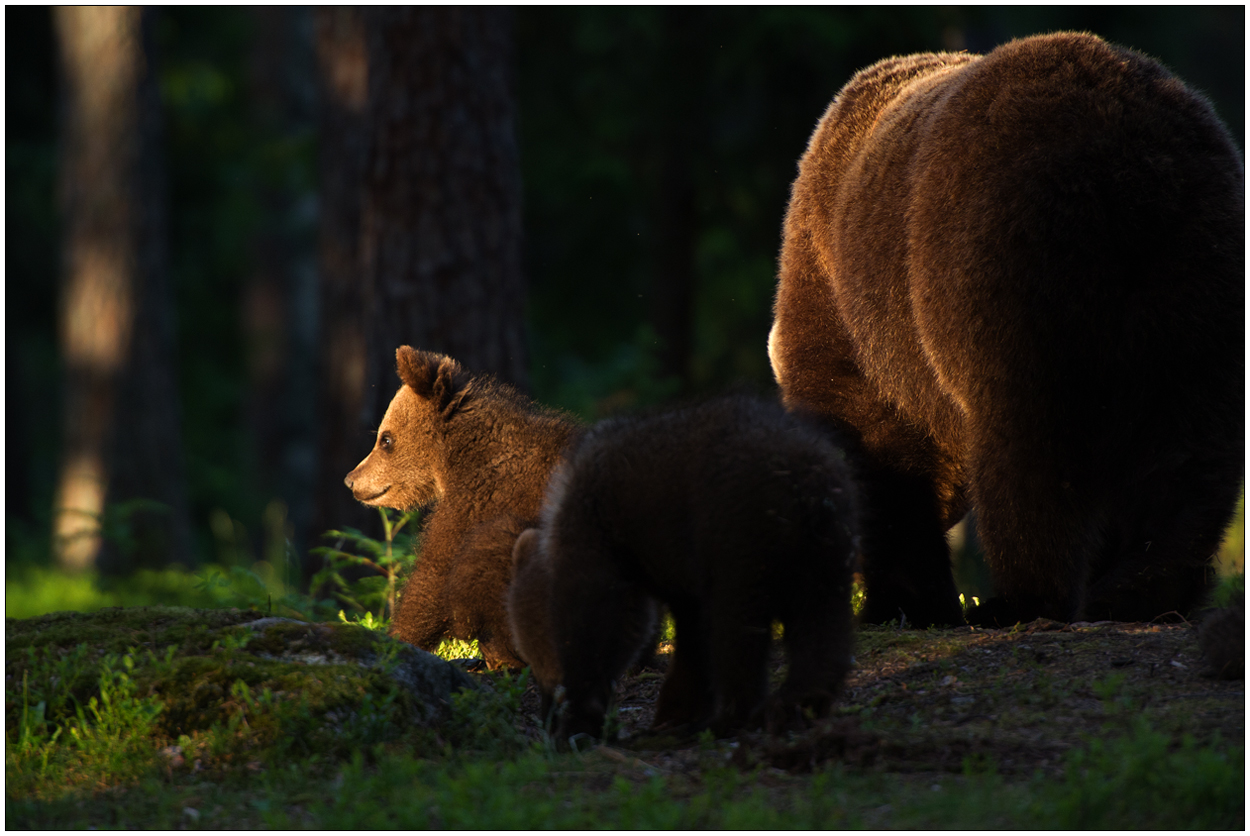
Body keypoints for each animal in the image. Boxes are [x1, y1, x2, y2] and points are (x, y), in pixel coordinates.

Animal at [765, 32, 1245, 624]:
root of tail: (1136, 164)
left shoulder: (854, 312)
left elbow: (881, 456)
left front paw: (900, 600)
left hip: (1009, 258)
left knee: (1028, 444)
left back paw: (1020, 598)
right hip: (1198, 274)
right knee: (1187, 449)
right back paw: (1146, 591)